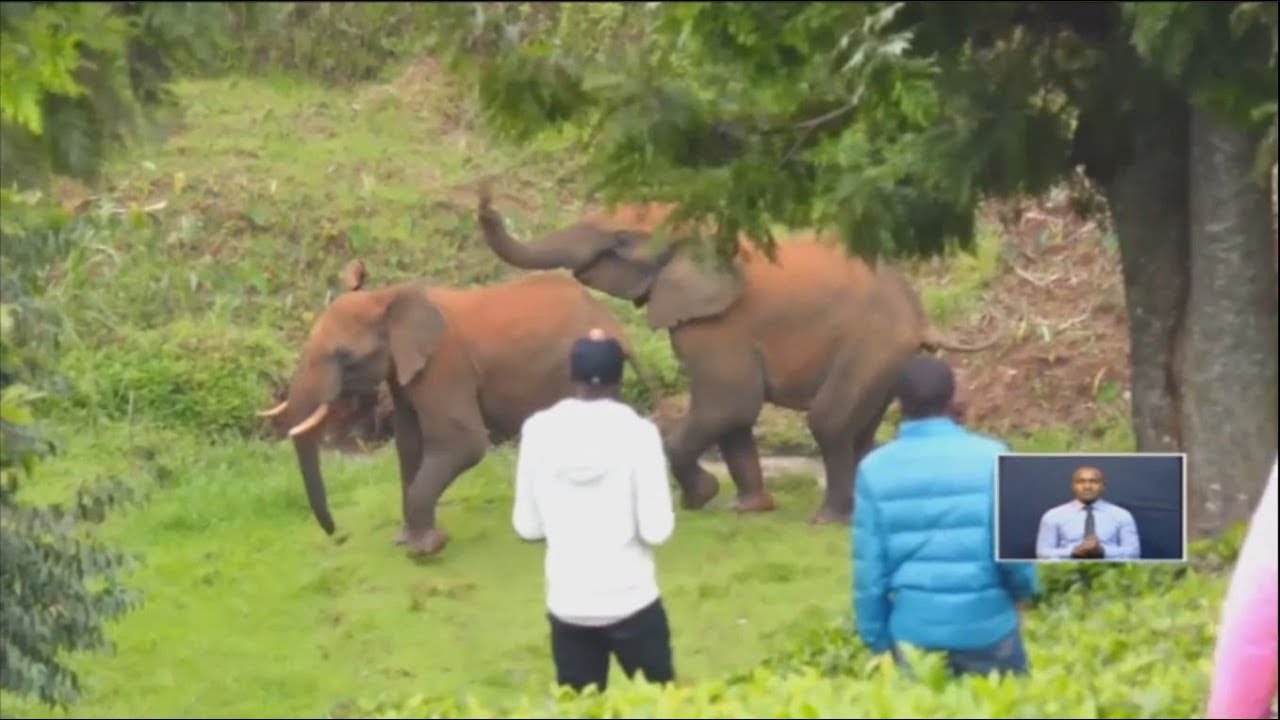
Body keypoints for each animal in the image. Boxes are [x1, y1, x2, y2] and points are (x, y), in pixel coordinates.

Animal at [257, 259, 650, 557]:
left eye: (345, 357)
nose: (334, 533)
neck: (387, 298)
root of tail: (615, 322)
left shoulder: (444, 364)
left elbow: (463, 442)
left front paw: (426, 550)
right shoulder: (405, 373)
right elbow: (409, 442)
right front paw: (406, 541)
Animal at [475, 190, 996, 525]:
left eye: (622, 239)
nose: (485, 196)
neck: (703, 229)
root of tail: (920, 316)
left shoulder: (718, 325)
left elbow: (728, 405)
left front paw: (701, 497)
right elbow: (736, 418)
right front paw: (747, 509)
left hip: (871, 345)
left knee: (829, 422)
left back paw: (828, 519)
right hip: (886, 358)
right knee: (860, 429)